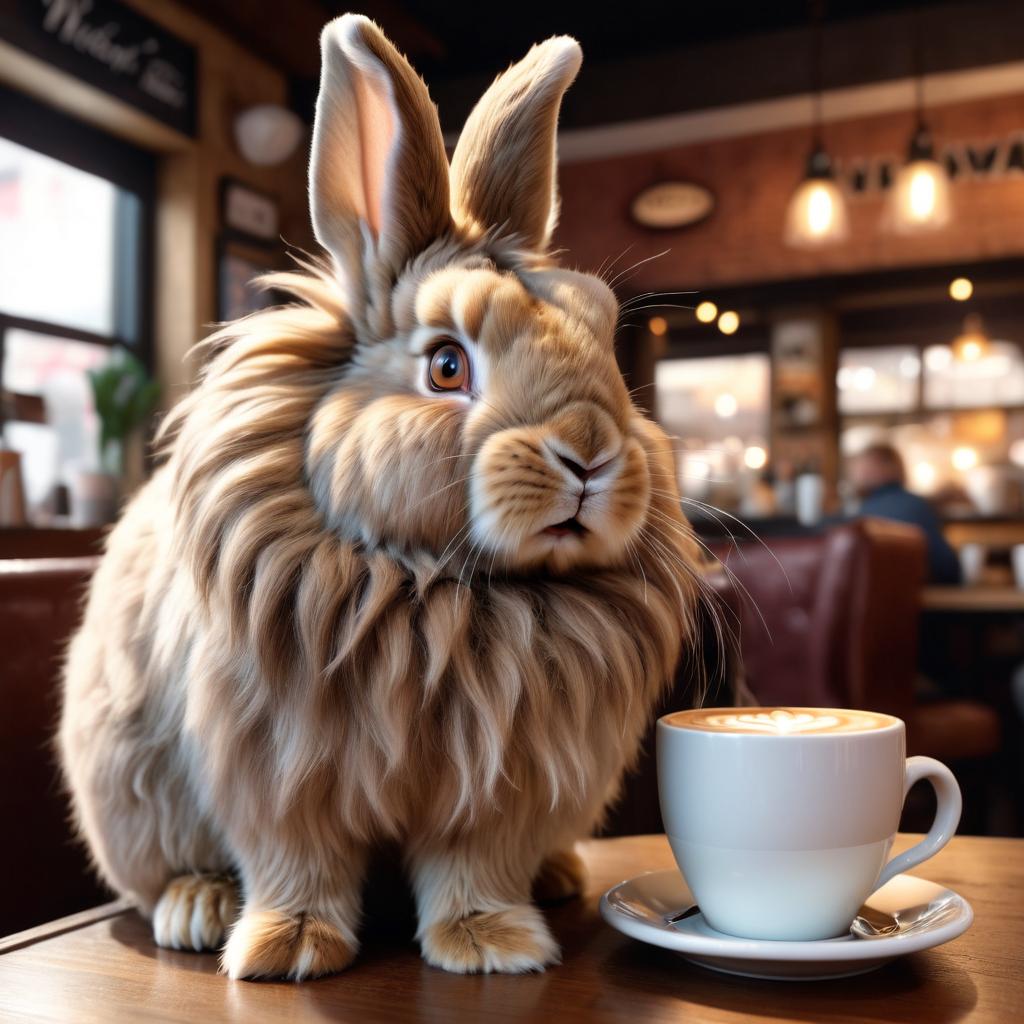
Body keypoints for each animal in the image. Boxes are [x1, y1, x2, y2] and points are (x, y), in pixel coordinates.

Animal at [58, 12, 704, 978]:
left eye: (600, 334)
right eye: (446, 365)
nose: (590, 454)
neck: (433, 588)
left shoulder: (503, 787)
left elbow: (476, 867)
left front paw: (494, 946)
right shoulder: (276, 773)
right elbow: (296, 864)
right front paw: (286, 952)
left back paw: (556, 877)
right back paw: (199, 909)